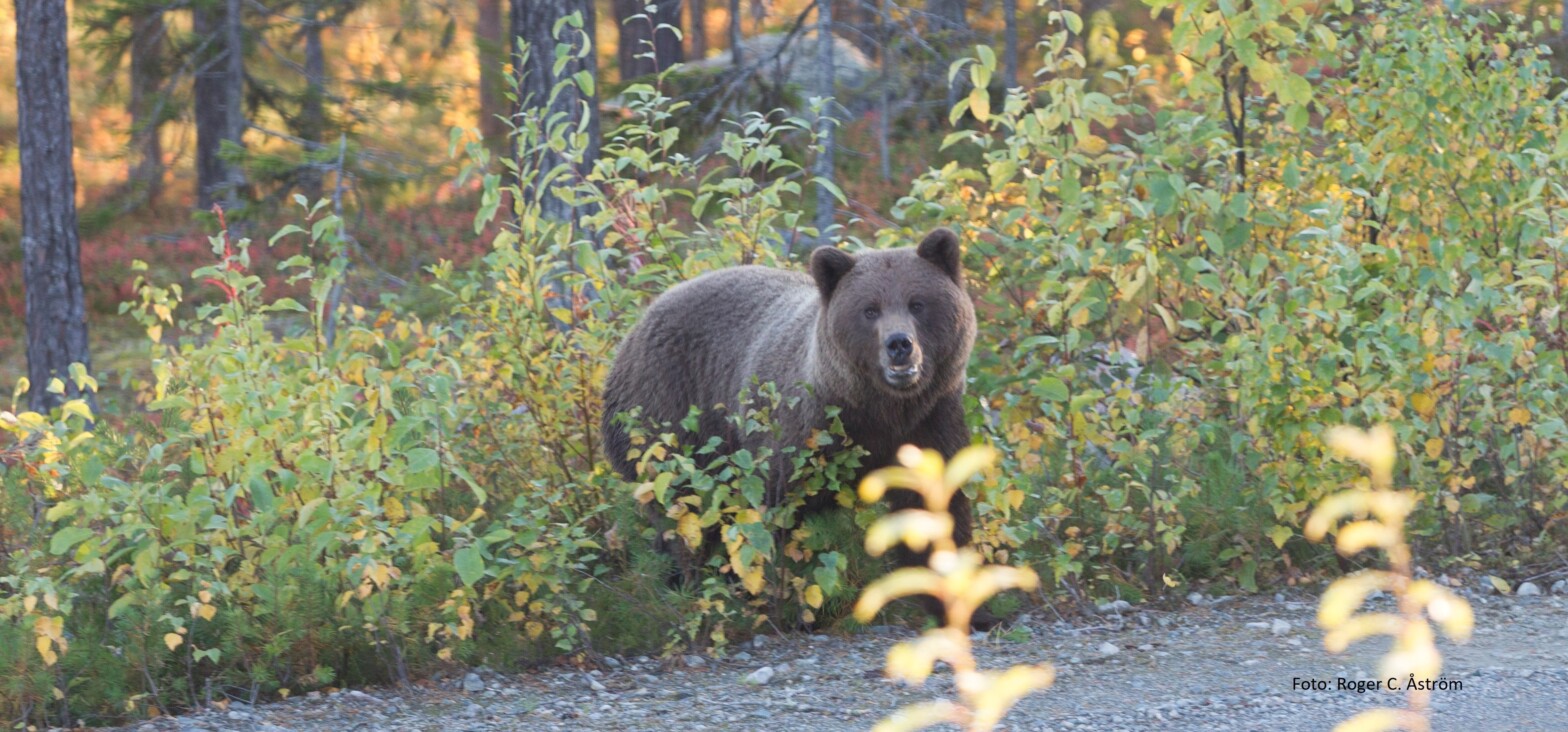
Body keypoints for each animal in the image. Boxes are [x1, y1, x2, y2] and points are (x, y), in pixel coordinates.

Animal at [598, 228, 978, 623]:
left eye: (917, 303)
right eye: (870, 309)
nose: (899, 344)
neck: (880, 409)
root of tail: (638, 323)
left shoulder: (931, 419)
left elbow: (936, 505)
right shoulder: (804, 433)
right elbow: (774, 516)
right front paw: (780, 599)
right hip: (666, 414)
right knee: (684, 509)